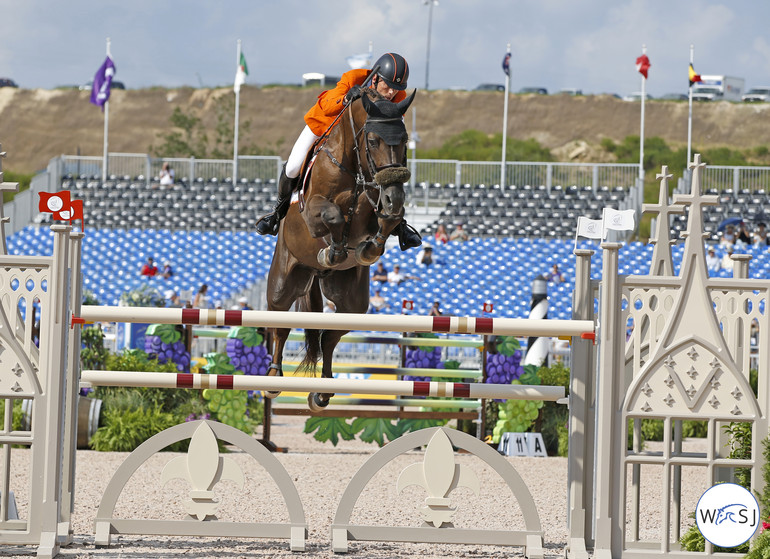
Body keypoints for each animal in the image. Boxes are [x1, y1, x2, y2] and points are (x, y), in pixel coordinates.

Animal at [266, 88, 420, 412]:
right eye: (372, 141)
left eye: (404, 141)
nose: (394, 196)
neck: (355, 166)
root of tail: (317, 273)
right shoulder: (313, 212)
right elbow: (333, 216)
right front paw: (333, 250)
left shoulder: (376, 206)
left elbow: (388, 220)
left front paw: (369, 249)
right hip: (284, 279)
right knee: (280, 323)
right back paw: (273, 377)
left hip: (352, 301)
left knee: (329, 336)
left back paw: (322, 391)